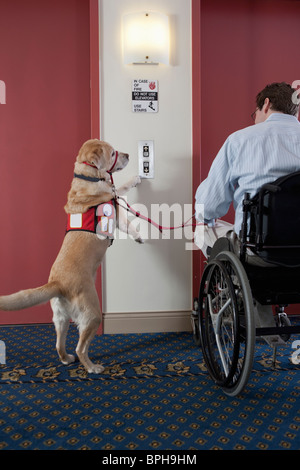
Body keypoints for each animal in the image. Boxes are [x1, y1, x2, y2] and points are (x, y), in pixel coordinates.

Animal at [0, 140, 144, 374]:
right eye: (114, 152)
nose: (129, 155)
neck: (88, 177)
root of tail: (58, 283)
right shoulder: (115, 209)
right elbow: (122, 199)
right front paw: (139, 235)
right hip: (92, 314)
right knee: (81, 347)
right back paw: (92, 367)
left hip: (60, 318)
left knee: (59, 345)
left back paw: (67, 358)